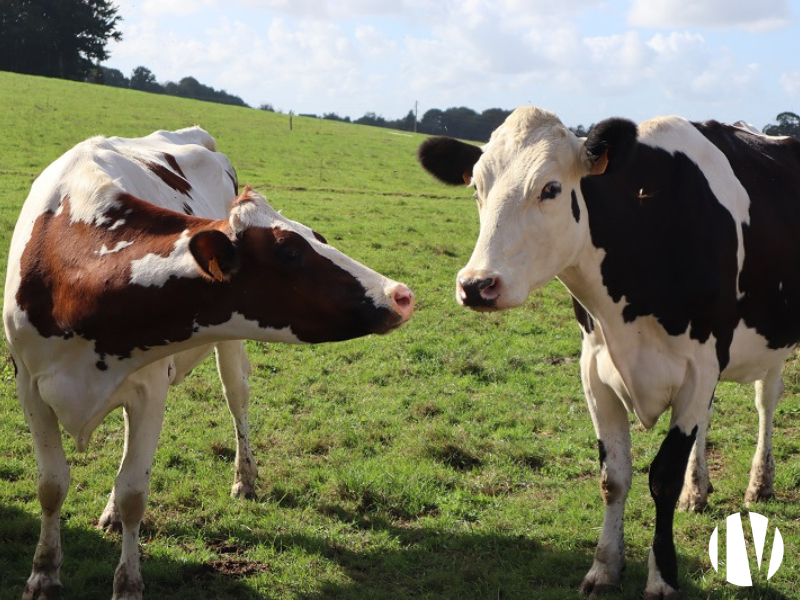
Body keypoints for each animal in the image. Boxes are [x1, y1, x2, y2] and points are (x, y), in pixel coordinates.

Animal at [6, 127, 416, 600]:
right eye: (290, 252)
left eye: (317, 236)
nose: (401, 294)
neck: (75, 277)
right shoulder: (30, 387)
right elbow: (51, 485)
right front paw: (43, 575)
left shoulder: (150, 392)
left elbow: (134, 492)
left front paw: (128, 584)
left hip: (228, 347)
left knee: (236, 398)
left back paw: (244, 478)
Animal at [418, 106, 800, 596]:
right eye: (477, 188)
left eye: (551, 188)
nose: (476, 285)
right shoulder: (595, 369)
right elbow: (613, 478)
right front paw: (604, 567)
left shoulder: (699, 366)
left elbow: (663, 477)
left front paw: (662, 578)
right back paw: (699, 490)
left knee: (766, 401)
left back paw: (760, 483)